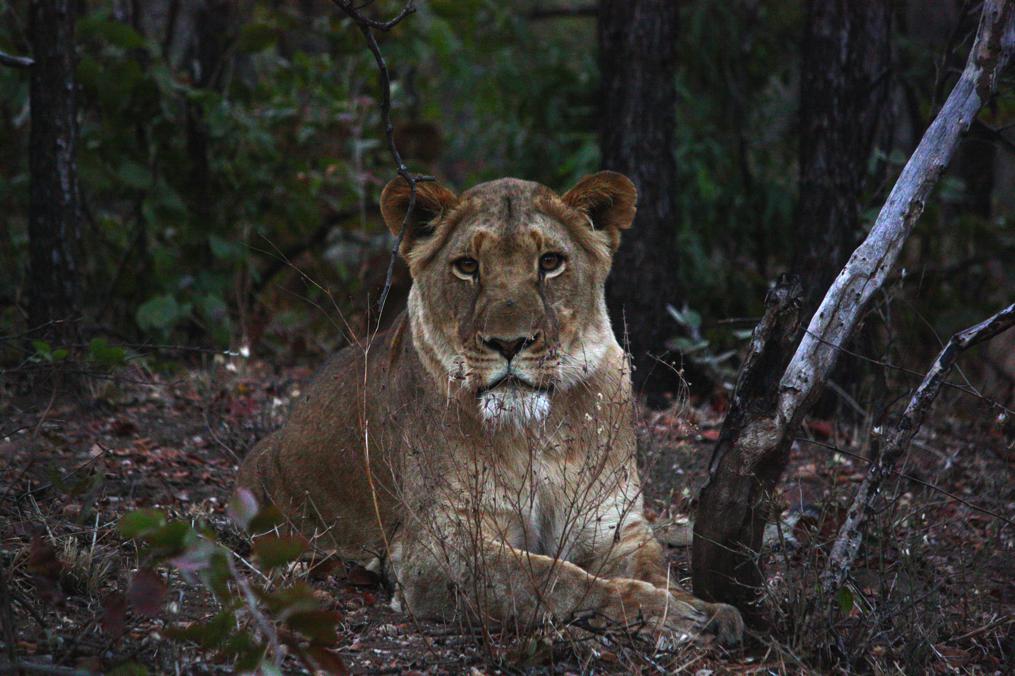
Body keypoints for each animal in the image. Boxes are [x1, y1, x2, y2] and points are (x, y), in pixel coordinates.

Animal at [237, 171, 744, 646]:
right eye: (467, 266)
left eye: (550, 262)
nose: (509, 342)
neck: (537, 433)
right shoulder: (437, 551)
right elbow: (555, 579)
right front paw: (669, 615)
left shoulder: (611, 526)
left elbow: (654, 569)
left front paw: (708, 609)